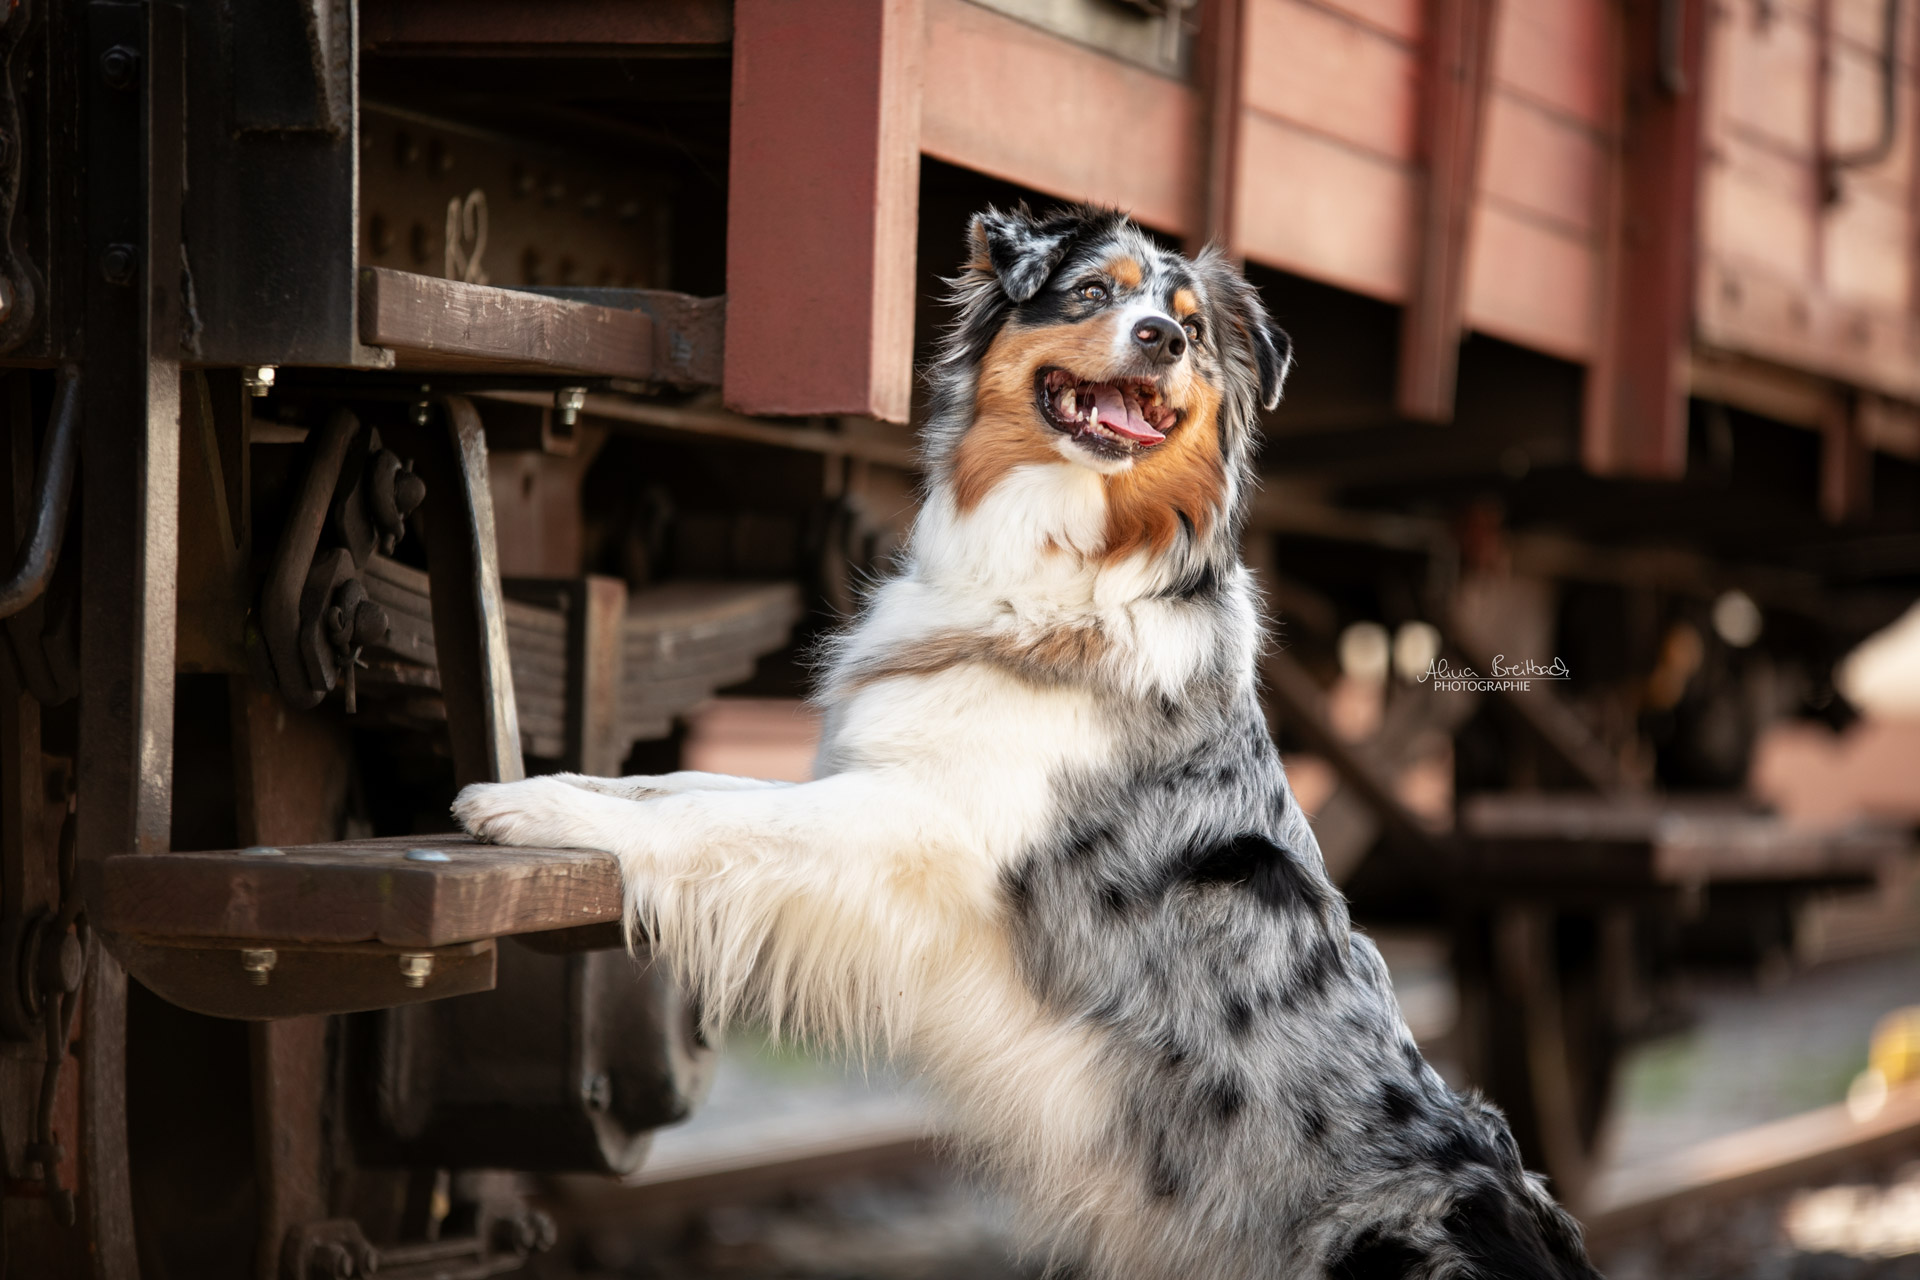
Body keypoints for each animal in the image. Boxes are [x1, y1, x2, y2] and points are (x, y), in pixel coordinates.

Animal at [456, 205, 1597, 1274]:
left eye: (1191, 328)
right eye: (1093, 292)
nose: (1159, 339)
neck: (1053, 556)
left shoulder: (921, 829)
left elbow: (706, 819)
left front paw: (528, 808)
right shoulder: (879, 779)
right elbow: (685, 780)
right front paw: (553, 783)